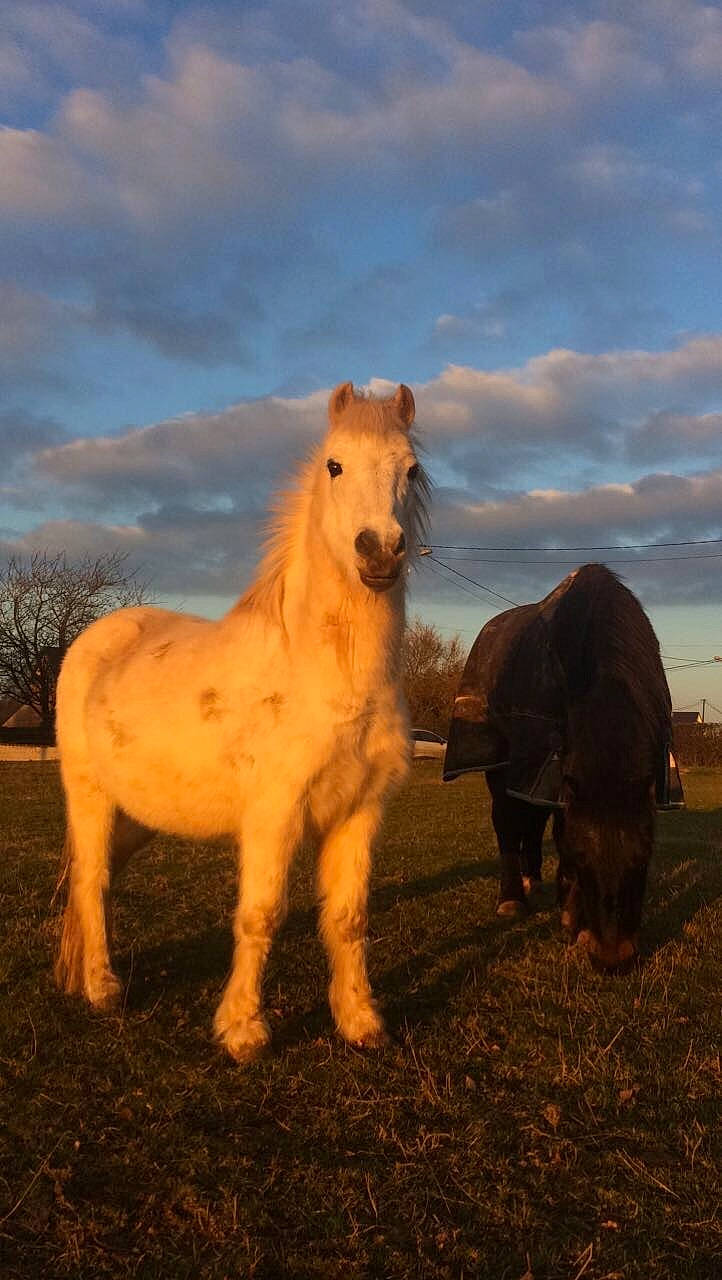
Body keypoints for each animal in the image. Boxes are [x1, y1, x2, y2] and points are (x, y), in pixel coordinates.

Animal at [54, 381, 429, 1061]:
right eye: (335, 465)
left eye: (410, 470)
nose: (380, 551)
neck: (330, 677)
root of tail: (97, 639)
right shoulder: (273, 814)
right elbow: (260, 914)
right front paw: (242, 1031)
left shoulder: (360, 813)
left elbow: (348, 918)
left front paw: (360, 1022)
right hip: (89, 795)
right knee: (91, 878)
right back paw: (101, 988)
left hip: (138, 813)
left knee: (99, 879)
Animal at [443, 564, 682, 974]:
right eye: (580, 855)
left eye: (644, 855)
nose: (612, 960)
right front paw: (572, 920)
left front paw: (567, 910)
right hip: (504, 765)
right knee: (507, 823)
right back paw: (512, 897)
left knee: (533, 822)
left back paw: (535, 880)